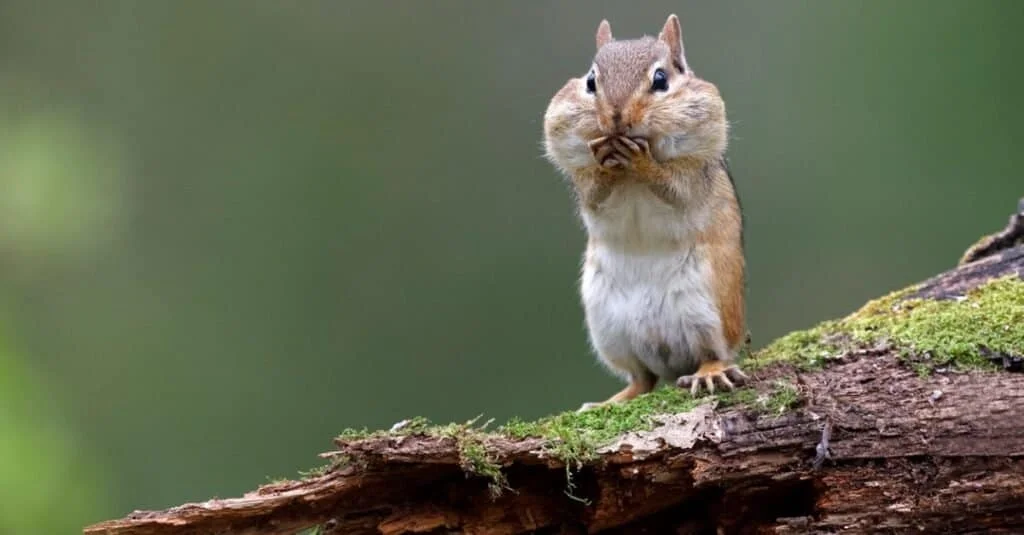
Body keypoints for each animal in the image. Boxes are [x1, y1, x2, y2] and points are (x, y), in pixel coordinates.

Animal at [542, 14, 748, 410]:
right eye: (590, 81)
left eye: (661, 79)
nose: (616, 117)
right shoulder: (581, 178)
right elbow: (592, 191)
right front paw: (605, 161)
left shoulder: (693, 172)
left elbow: (674, 187)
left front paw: (641, 161)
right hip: (609, 329)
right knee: (642, 379)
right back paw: (611, 400)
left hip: (709, 311)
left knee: (712, 353)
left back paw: (709, 372)